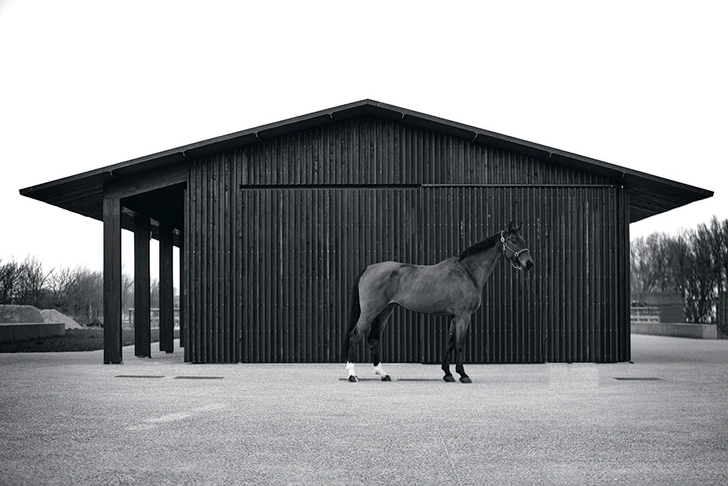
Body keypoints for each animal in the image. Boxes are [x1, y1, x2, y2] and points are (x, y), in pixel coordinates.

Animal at [342, 221, 536, 384]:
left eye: (523, 239)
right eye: (513, 240)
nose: (529, 263)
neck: (467, 272)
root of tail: (369, 268)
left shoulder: (454, 317)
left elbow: (450, 342)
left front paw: (447, 374)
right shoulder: (463, 316)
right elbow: (459, 343)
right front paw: (463, 374)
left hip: (385, 311)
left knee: (373, 338)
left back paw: (383, 374)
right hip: (370, 311)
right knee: (355, 335)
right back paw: (352, 374)